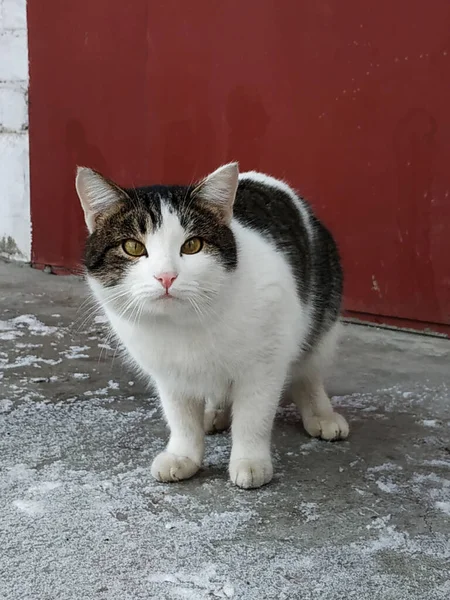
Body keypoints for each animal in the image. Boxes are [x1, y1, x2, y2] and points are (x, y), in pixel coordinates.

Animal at [75, 163, 348, 488]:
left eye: (192, 245)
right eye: (132, 247)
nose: (166, 276)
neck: (183, 325)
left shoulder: (265, 362)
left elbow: (253, 416)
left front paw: (250, 461)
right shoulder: (168, 373)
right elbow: (180, 417)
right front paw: (183, 455)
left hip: (322, 314)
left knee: (309, 370)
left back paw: (321, 415)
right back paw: (214, 411)